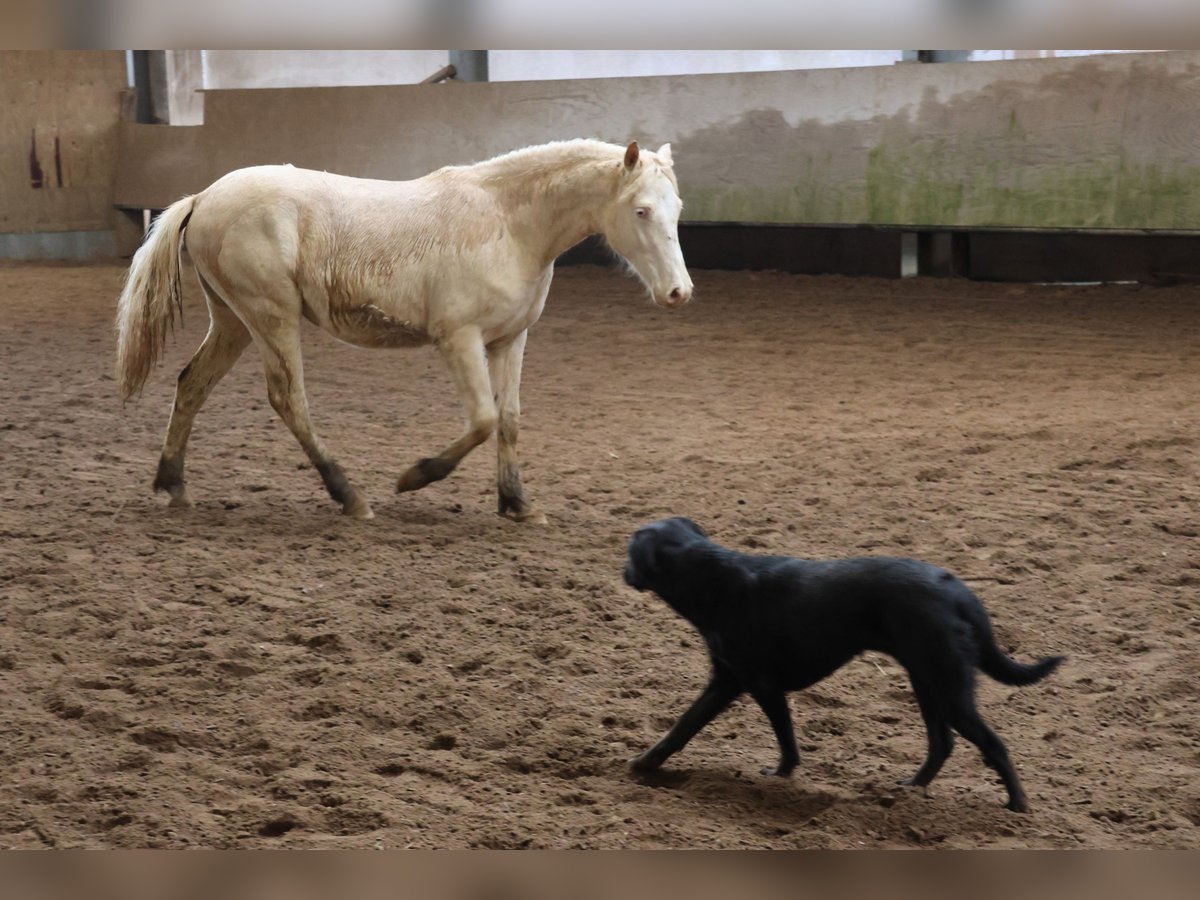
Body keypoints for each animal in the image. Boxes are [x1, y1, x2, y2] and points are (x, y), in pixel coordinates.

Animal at [114, 139, 696, 520]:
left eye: (677, 208)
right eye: (641, 210)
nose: (678, 292)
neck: (508, 223)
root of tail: (203, 197)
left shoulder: (510, 340)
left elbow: (508, 421)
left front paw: (518, 504)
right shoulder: (459, 339)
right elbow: (483, 420)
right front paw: (415, 477)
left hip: (234, 321)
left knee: (192, 384)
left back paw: (173, 487)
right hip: (270, 316)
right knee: (288, 399)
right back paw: (350, 497)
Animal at [624, 518, 1065, 816]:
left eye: (628, 552)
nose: (622, 570)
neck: (710, 578)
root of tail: (958, 589)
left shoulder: (754, 684)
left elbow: (747, 733)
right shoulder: (733, 682)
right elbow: (694, 726)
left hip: (949, 687)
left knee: (993, 743)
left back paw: (1017, 805)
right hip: (927, 683)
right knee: (943, 744)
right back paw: (909, 790)